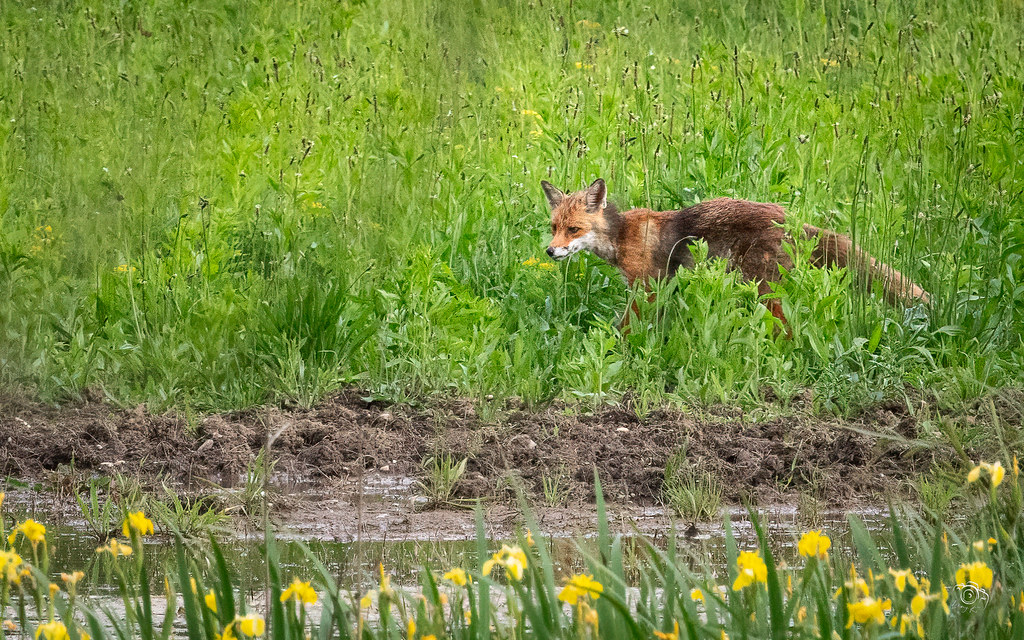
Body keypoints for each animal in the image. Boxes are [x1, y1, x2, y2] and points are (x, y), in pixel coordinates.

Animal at [541, 178, 930, 329]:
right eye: (553, 226)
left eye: (573, 230)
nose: (550, 250)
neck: (622, 235)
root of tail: (789, 217)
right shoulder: (663, 287)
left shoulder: (646, 287)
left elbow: (626, 327)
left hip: (763, 288)